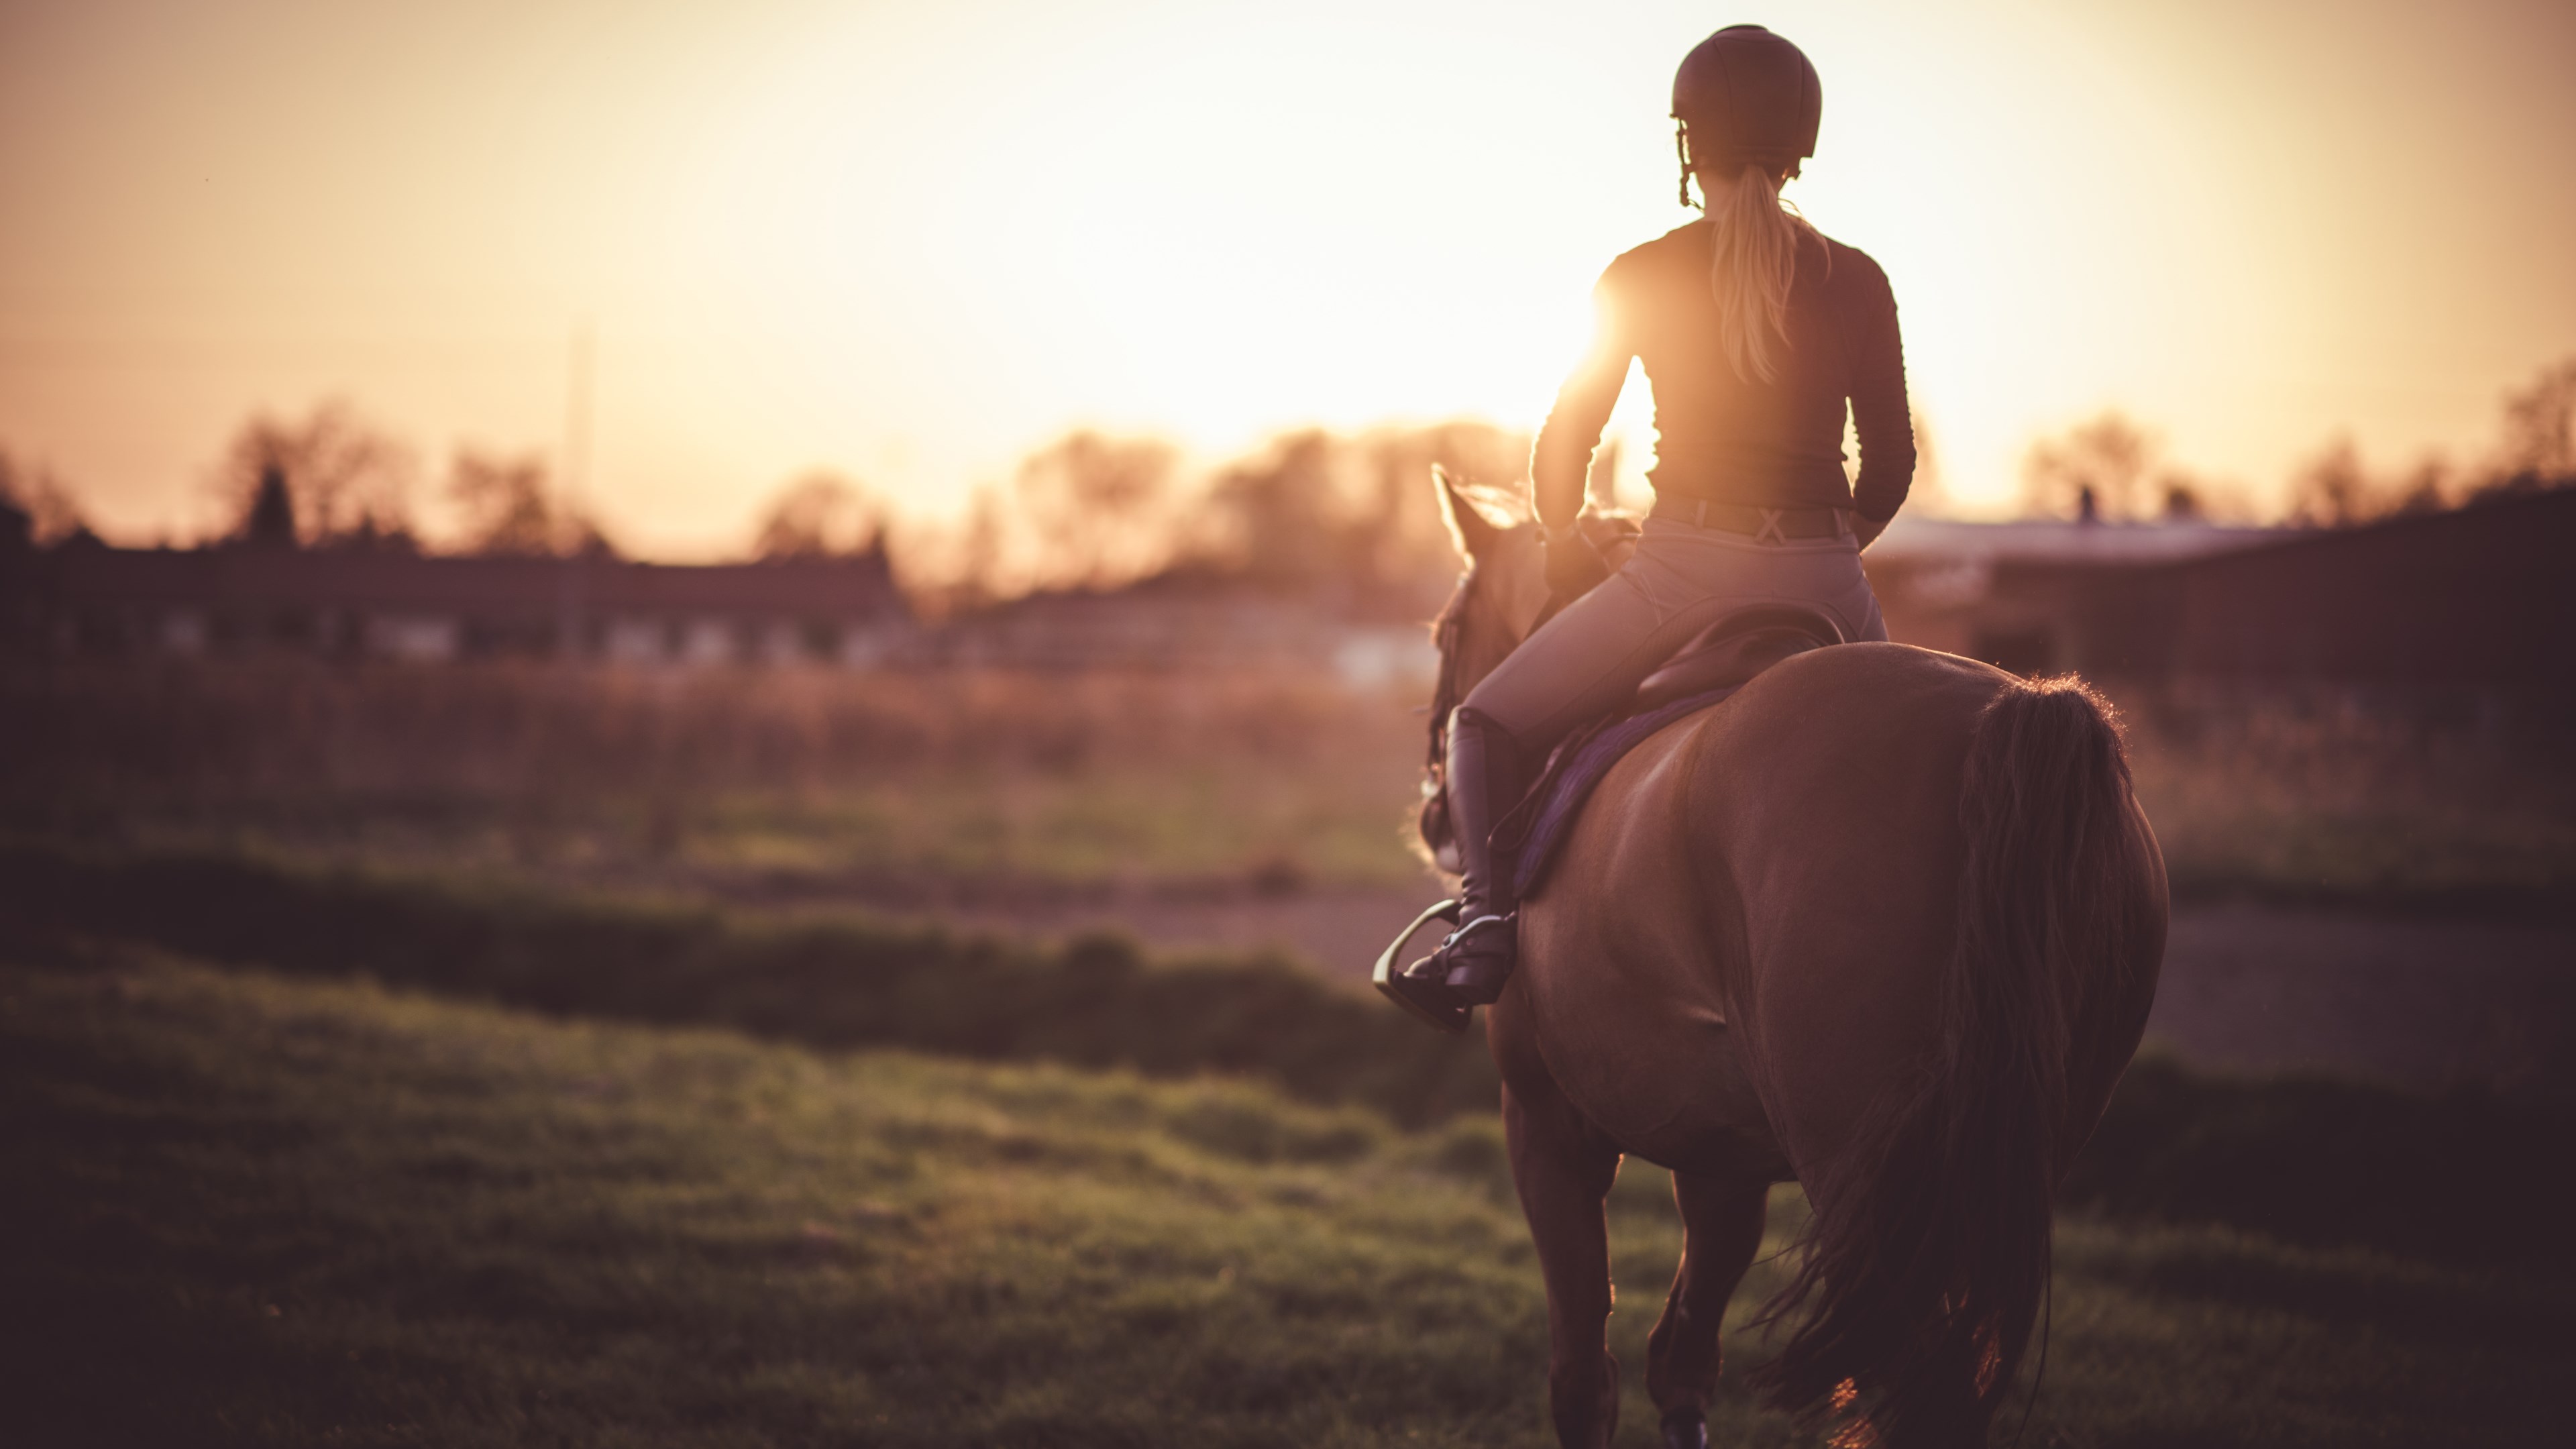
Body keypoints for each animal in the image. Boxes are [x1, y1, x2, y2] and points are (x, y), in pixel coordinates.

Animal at [1410, 474, 2167, 1449]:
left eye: (1445, 632)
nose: (1433, 814)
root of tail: (2014, 715)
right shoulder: (1720, 1153)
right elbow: (1681, 1361)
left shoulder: (1546, 1124)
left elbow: (1584, 1374)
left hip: (1868, 1185)